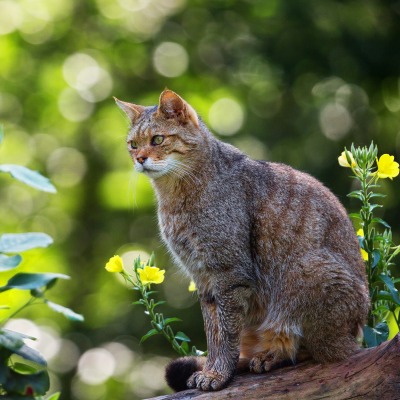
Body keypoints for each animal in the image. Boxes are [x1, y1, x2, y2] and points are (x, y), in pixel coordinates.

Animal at [115, 89, 368, 392]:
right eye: (133, 145)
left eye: (157, 140)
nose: (140, 158)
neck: (174, 197)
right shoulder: (203, 277)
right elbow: (213, 333)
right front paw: (211, 370)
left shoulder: (228, 272)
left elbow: (226, 333)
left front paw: (218, 374)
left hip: (307, 272)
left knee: (319, 351)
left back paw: (272, 356)